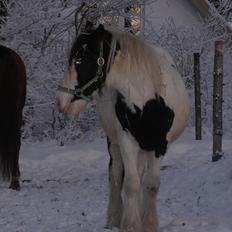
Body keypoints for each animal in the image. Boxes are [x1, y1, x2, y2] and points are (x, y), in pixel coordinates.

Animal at [57, 24, 189, 231]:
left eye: (79, 59)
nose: (61, 102)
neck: (149, 99)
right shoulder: (126, 141)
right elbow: (130, 184)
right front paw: (131, 224)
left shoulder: (159, 146)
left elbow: (151, 185)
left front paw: (148, 224)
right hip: (115, 144)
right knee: (116, 177)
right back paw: (114, 218)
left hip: (144, 148)